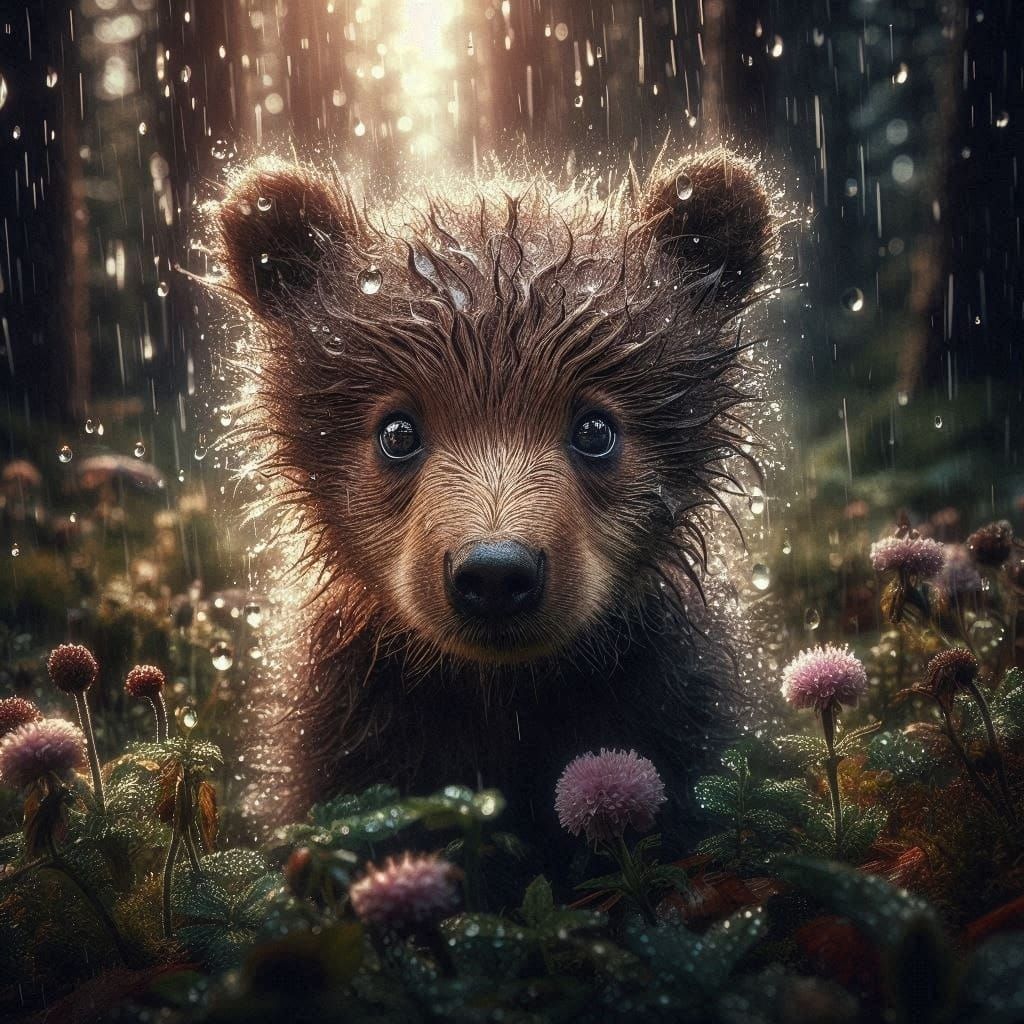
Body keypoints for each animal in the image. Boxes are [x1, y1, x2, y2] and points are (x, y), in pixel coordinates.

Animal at [209, 147, 779, 855]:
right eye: (398, 432)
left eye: (595, 428)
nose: (496, 573)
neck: (502, 699)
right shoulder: (350, 734)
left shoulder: (666, 707)